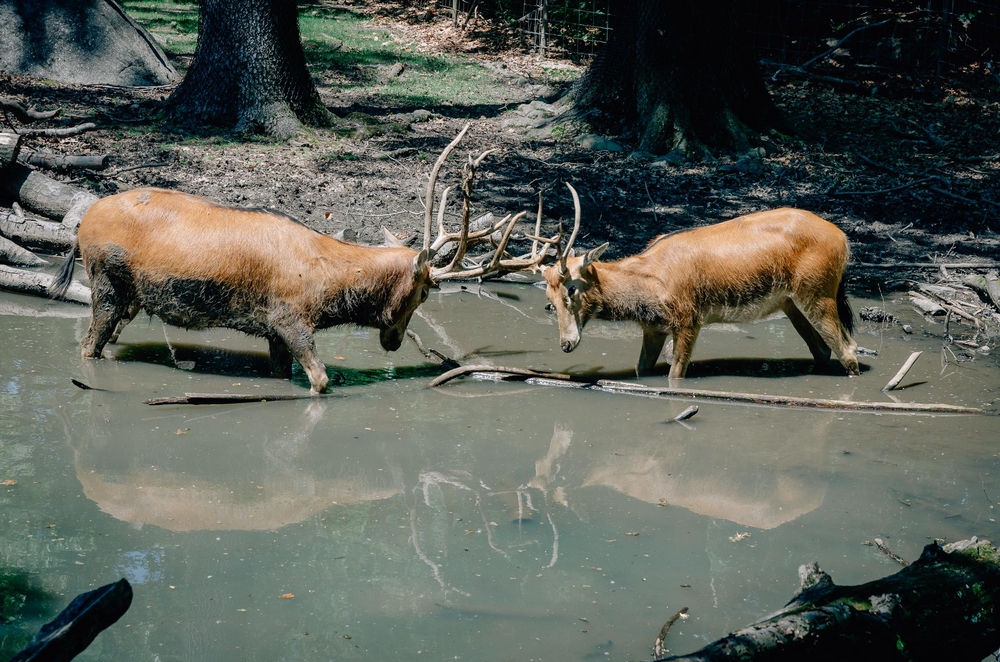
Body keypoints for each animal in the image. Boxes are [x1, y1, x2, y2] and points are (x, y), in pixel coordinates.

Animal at [50, 123, 560, 394]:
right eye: (425, 291)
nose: (395, 341)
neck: (328, 288)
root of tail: (80, 226)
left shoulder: (272, 330)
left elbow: (282, 370)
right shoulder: (290, 316)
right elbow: (321, 381)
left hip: (133, 295)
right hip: (106, 280)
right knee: (89, 344)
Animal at [540, 189, 860, 382]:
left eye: (571, 288)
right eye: (549, 299)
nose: (566, 344)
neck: (650, 286)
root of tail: (843, 240)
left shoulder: (688, 319)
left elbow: (675, 374)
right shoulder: (654, 327)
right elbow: (641, 368)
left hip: (819, 291)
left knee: (849, 349)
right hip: (790, 301)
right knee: (823, 349)